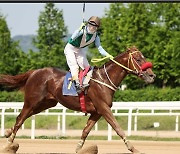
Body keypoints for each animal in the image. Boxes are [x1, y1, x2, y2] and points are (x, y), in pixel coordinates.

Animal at [0, 46, 155, 153]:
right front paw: (133, 148)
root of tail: (34, 72)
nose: (152, 75)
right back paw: (9, 143)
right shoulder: (104, 108)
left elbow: (86, 130)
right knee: (20, 118)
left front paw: (79, 148)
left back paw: (7, 132)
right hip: (32, 101)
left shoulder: (97, 112)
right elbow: (117, 127)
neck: (104, 80)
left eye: (144, 57)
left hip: (46, 103)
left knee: (23, 117)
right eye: (138, 59)